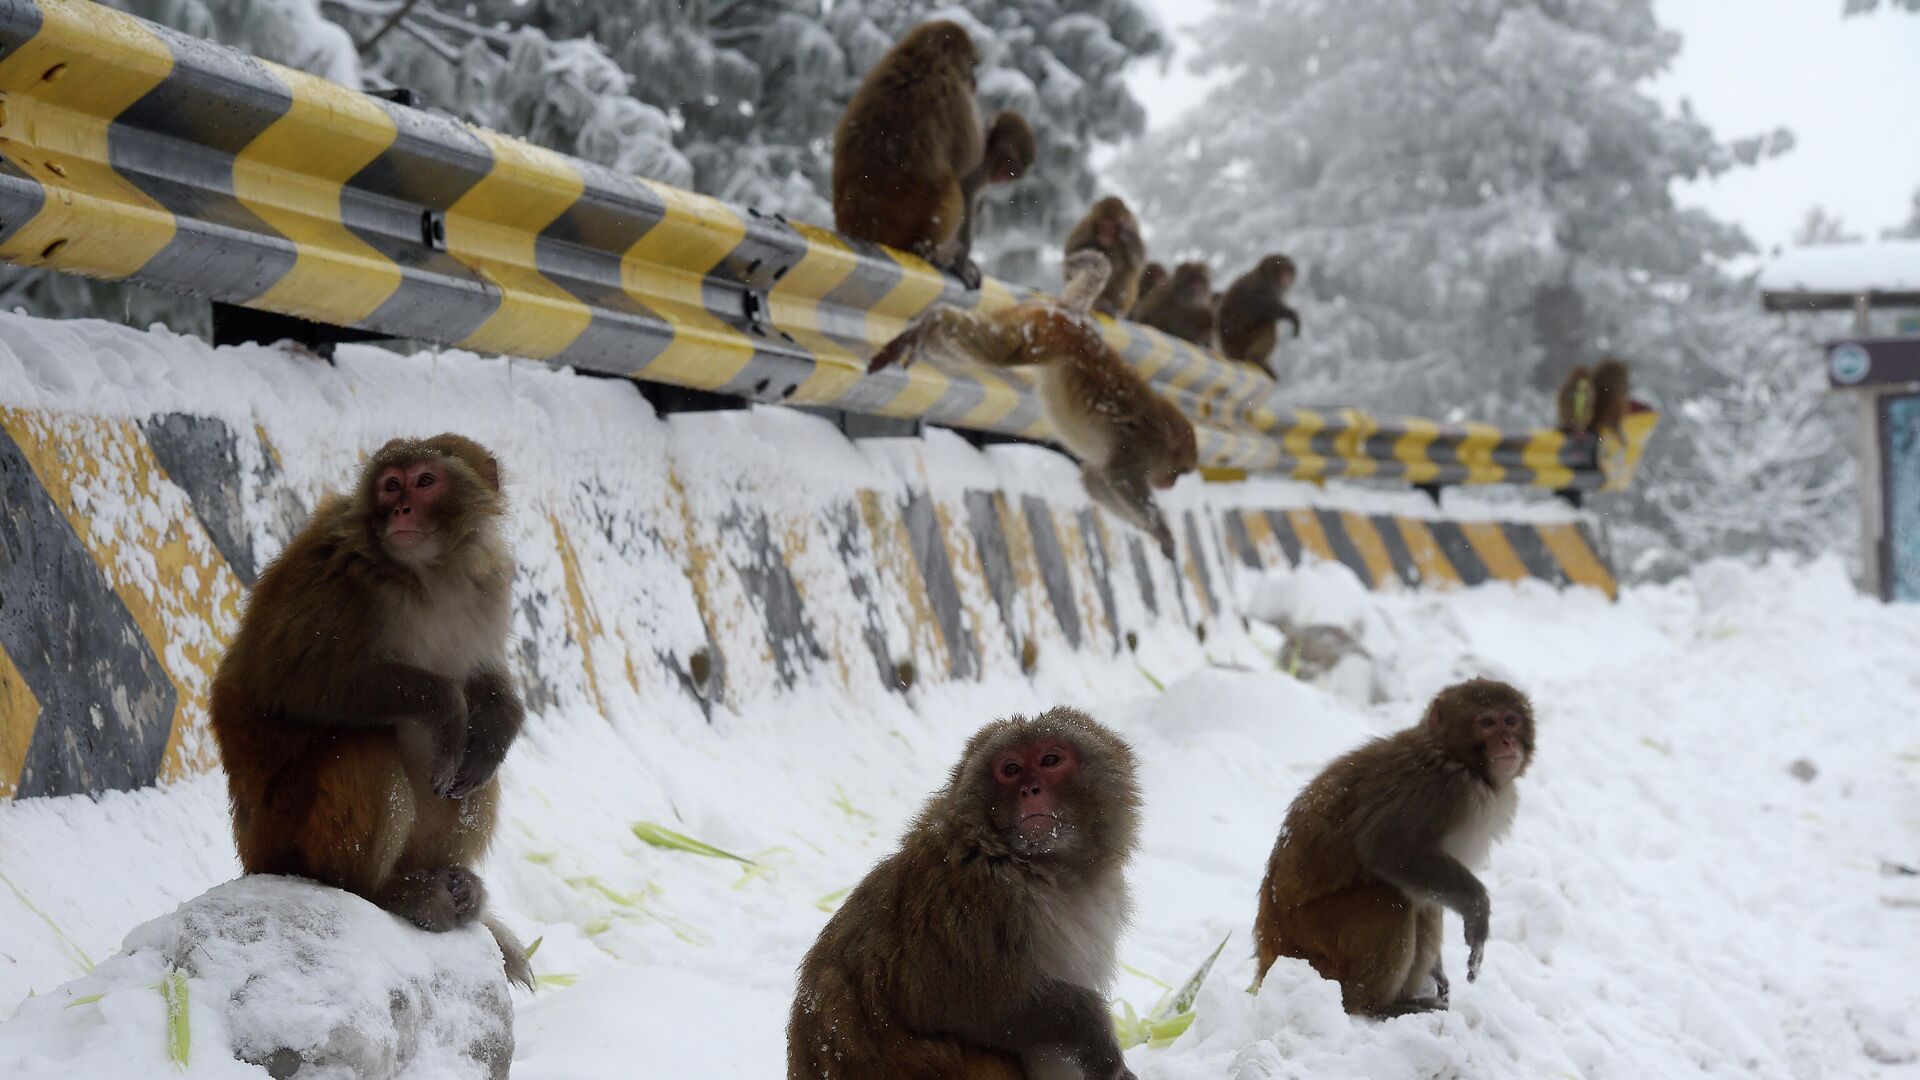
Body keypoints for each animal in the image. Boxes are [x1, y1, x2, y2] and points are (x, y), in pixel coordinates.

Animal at [210, 428, 533, 983]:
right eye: (390, 485)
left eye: (425, 482)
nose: (401, 508)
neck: (431, 575)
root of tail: (250, 853)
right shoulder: (340, 577)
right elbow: (288, 682)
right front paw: (447, 707)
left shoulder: (487, 585)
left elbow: (485, 679)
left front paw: (501, 724)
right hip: (286, 834)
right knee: (364, 749)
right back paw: (382, 892)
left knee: (474, 777)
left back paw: (456, 884)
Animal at [783, 707, 1136, 1076]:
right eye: (1011, 769)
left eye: (1050, 760)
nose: (1030, 789)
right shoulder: (976, 901)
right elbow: (955, 1001)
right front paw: (1096, 1034)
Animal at [829, 22, 1029, 290]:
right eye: (971, 63)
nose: (974, 81)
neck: (920, 59)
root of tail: (855, 227)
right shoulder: (953, 91)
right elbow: (968, 161)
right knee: (951, 186)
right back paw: (930, 251)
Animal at [871, 251, 1198, 553]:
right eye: (1180, 471)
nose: (1170, 484)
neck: (1165, 437)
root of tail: (1073, 317)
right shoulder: (1141, 448)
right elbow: (1120, 480)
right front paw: (1161, 530)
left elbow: (1095, 482)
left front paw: (1153, 532)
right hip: (1042, 334)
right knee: (1000, 348)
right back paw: (933, 321)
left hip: (1034, 324)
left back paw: (924, 330)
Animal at [1251, 676, 1536, 1014]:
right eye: (1488, 722)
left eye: (1512, 721)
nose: (1508, 742)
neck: (1455, 757)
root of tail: (1270, 943)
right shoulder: (1440, 790)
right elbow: (1388, 849)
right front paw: (1479, 911)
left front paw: (1438, 971)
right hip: (1316, 938)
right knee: (1389, 898)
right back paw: (1375, 1006)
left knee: (1422, 901)